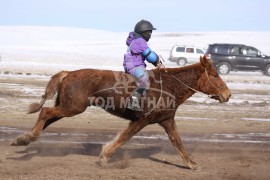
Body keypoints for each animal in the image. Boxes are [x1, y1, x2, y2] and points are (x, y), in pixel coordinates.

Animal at [10, 55, 230, 169]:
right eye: (215, 75)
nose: (227, 94)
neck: (169, 85)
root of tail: (68, 73)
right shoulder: (142, 119)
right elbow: (125, 136)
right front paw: (104, 157)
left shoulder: (167, 120)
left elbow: (177, 141)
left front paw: (191, 163)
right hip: (71, 107)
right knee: (45, 112)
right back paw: (25, 139)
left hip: (67, 107)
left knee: (47, 117)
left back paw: (24, 139)